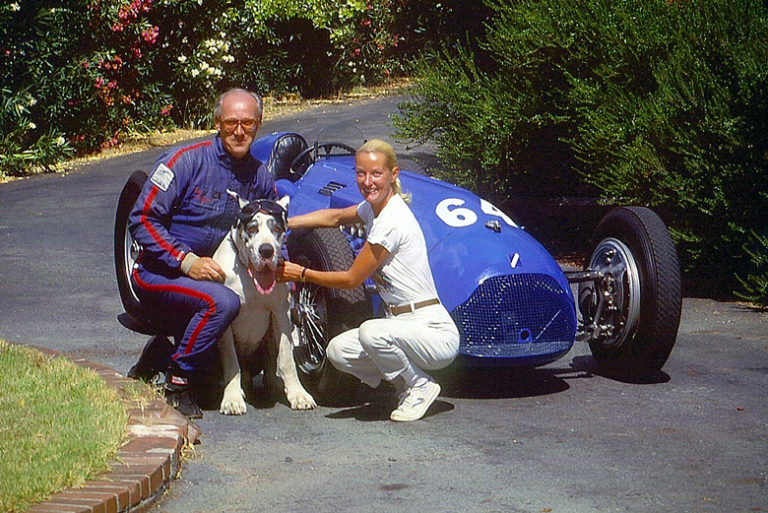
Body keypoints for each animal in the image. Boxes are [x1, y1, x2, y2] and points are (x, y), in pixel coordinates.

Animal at [213, 194, 316, 414]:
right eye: (252, 228)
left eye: (276, 228)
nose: (266, 251)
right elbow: (231, 359)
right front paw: (232, 398)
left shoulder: (280, 314)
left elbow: (286, 357)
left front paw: (298, 394)